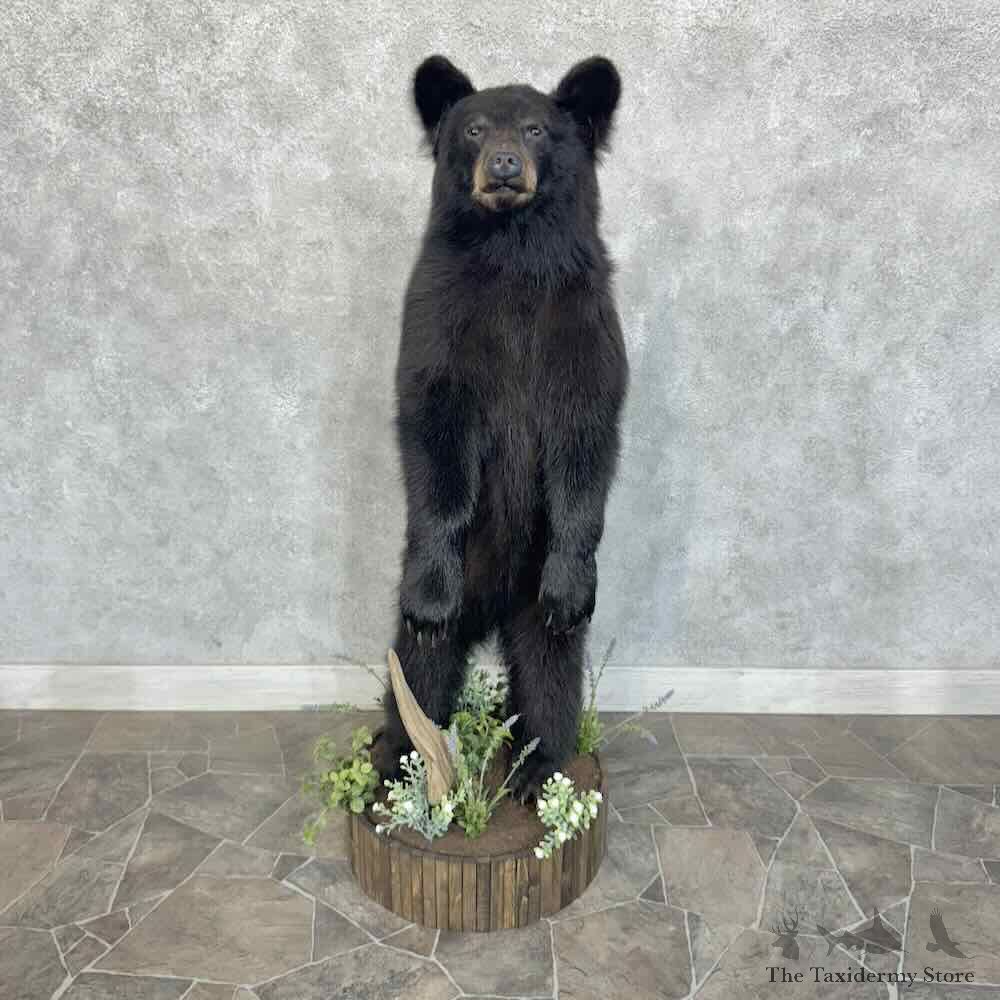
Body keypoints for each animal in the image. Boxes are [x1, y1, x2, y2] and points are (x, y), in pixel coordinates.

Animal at [377, 54, 628, 804]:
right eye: (475, 127)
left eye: (539, 128)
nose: (506, 164)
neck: (514, 254)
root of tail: (491, 606)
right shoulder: (439, 314)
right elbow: (433, 426)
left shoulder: (582, 325)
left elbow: (587, 438)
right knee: (419, 665)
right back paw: (402, 765)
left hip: (538, 594)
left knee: (550, 663)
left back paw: (543, 768)